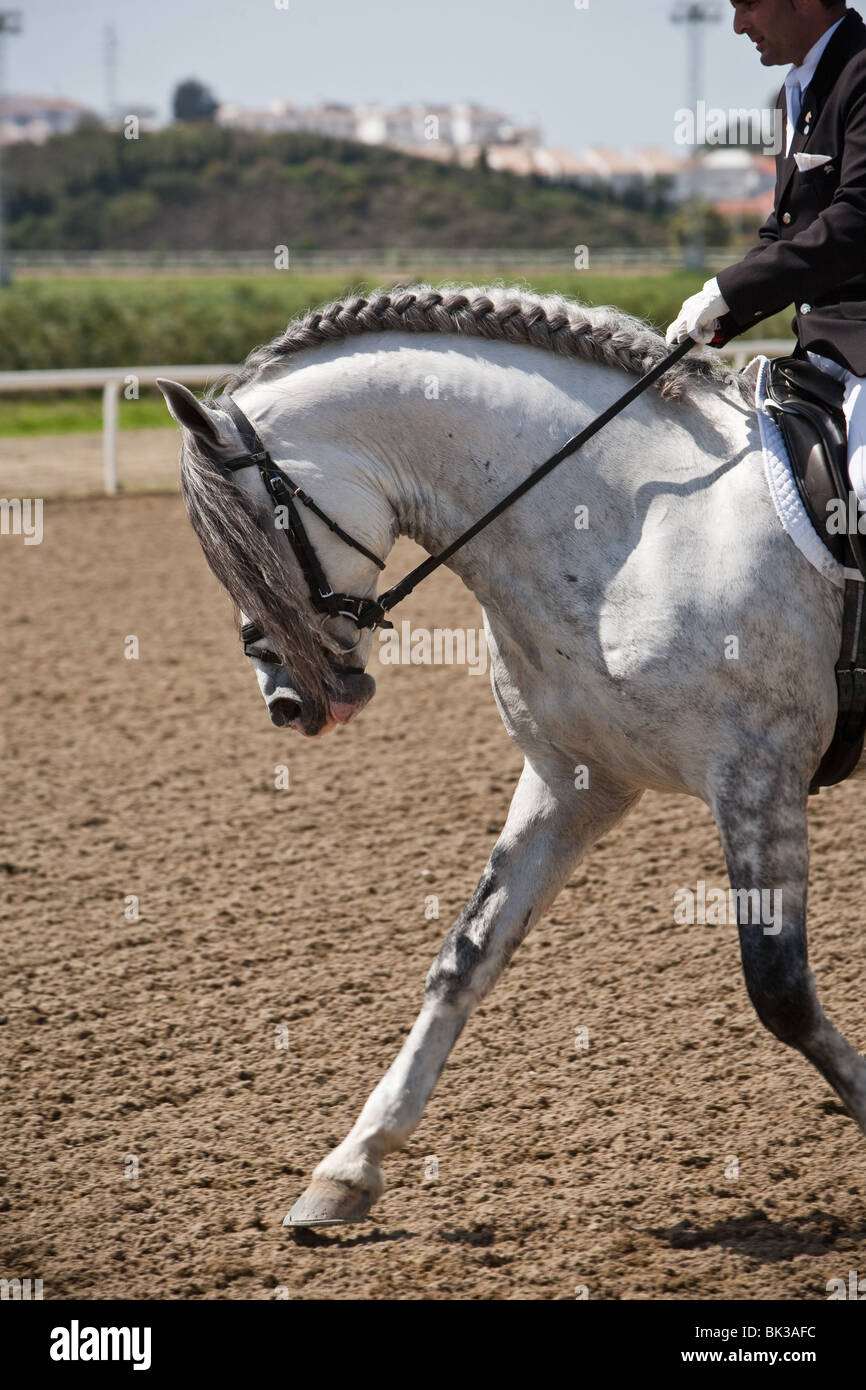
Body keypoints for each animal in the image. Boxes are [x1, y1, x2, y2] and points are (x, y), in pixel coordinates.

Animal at [158, 285, 866, 1228]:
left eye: (266, 524)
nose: (292, 703)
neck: (633, 528)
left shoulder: (759, 774)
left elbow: (780, 990)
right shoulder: (573, 782)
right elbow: (466, 956)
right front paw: (348, 1168)